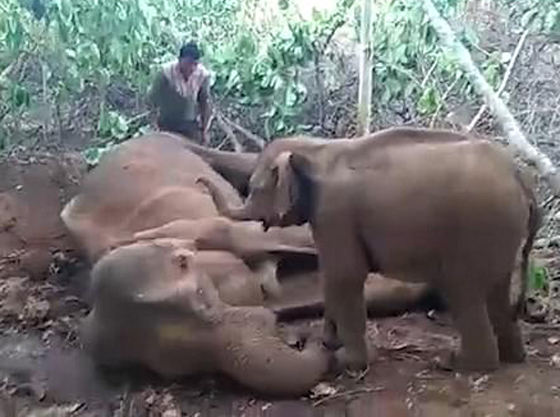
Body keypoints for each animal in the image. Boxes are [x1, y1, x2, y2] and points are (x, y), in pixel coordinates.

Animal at [197, 126, 542, 374]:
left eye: (255, 189)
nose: (201, 180)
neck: (318, 148)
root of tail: (521, 178)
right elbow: (331, 274)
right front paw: (328, 343)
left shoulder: (335, 211)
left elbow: (345, 274)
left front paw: (347, 363)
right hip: (500, 232)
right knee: (496, 290)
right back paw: (512, 357)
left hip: (478, 227)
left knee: (462, 289)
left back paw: (455, 363)